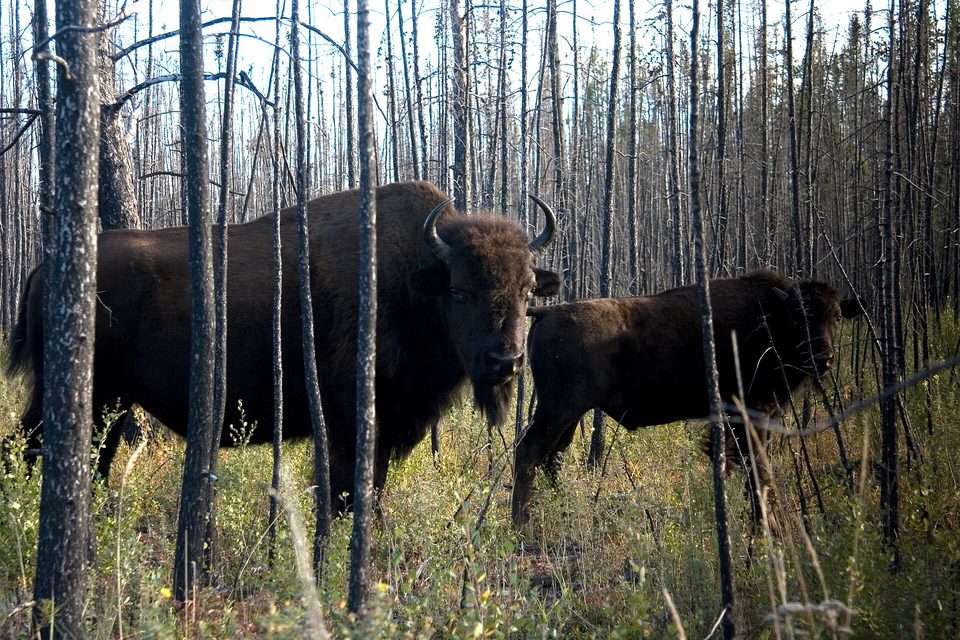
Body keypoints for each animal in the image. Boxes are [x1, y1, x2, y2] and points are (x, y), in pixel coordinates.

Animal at [6, 181, 561, 510]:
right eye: (461, 290)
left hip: (114, 403)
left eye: (527, 289)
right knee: (30, 447)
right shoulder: (348, 422)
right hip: (87, 396)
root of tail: (43, 266)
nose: (505, 361)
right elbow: (345, 491)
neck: (413, 279)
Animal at [511, 269, 861, 531]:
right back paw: (522, 527)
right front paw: (767, 527)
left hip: (569, 414)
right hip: (559, 408)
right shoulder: (754, 412)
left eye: (837, 317)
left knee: (553, 456)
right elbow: (758, 469)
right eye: (798, 319)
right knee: (529, 452)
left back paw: (561, 510)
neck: (770, 317)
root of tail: (548, 311)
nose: (823, 358)